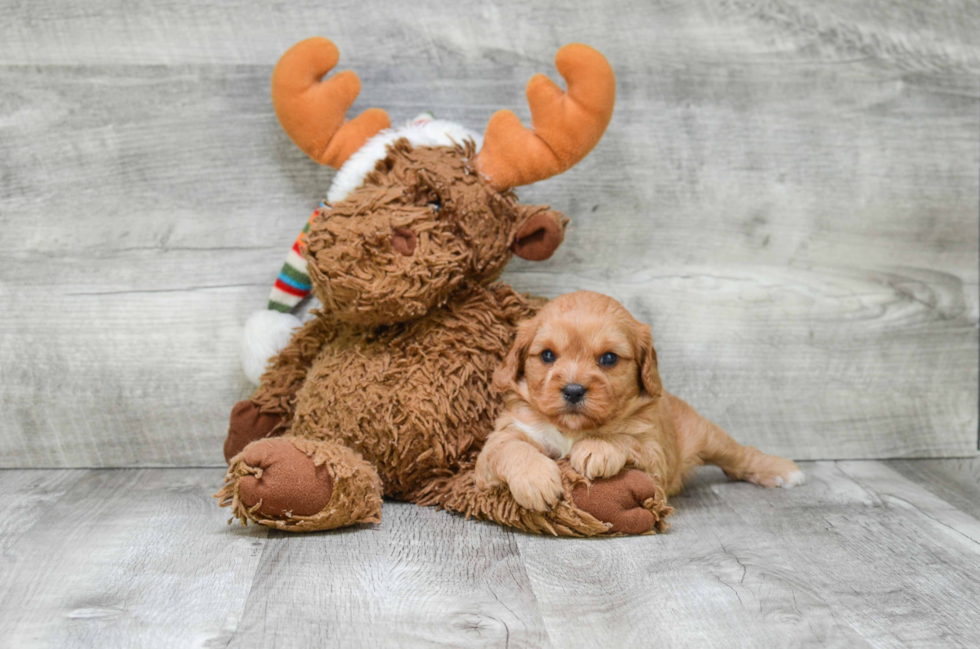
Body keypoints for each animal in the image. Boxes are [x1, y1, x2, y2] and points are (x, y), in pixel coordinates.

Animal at [474, 292, 804, 512]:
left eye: (609, 358)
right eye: (546, 355)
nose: (573, 390)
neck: (574, 430)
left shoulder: (656, 456)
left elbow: (626, 439)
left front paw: (599, 446)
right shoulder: (499, 441)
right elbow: (510, 448)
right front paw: (536, 479)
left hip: (708, 436)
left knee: (740, 456)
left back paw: (781, 470)